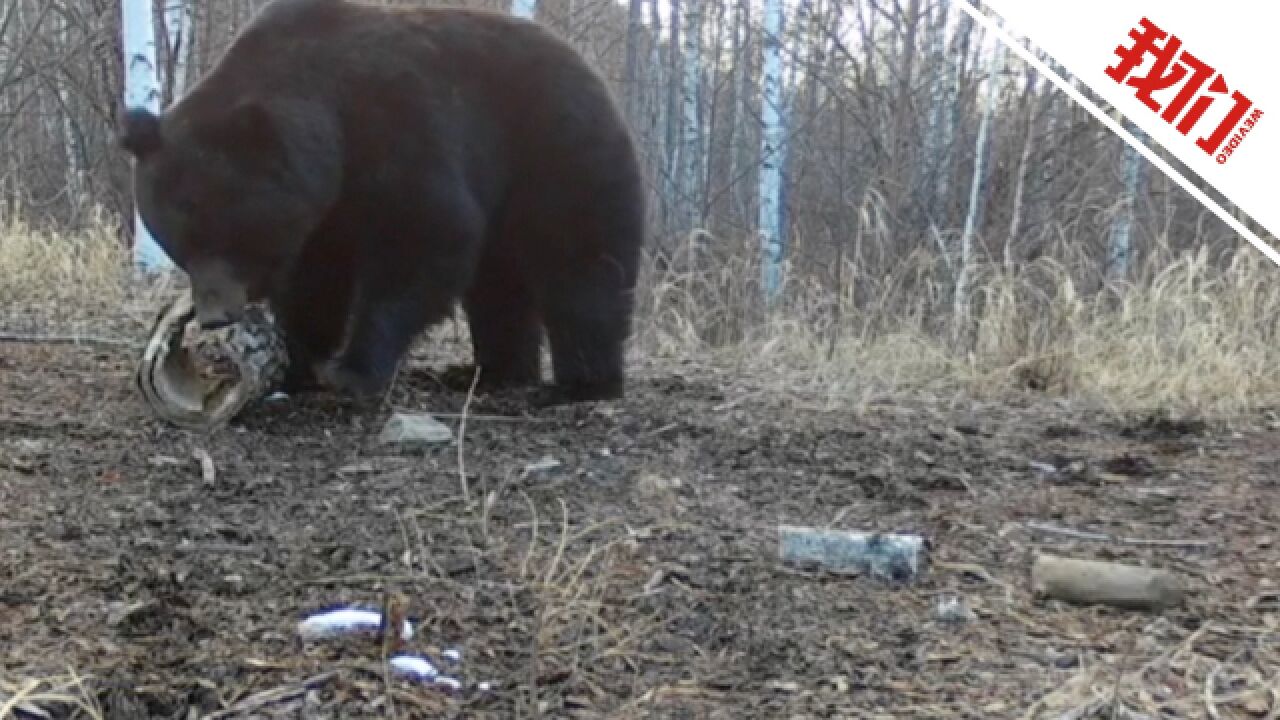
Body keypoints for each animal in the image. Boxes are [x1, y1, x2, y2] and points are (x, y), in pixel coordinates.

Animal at [119, 0, 645, 404]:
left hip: (559, 154)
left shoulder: (395, 128)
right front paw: (296, 361)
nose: (213, 314)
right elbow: (314, 284)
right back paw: (489, 373)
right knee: (500, 284)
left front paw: (350, 370)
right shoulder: (323, 213)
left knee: (580, 267)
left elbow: (424, 238)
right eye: (178, 242)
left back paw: (582, 384)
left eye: (230, 234)